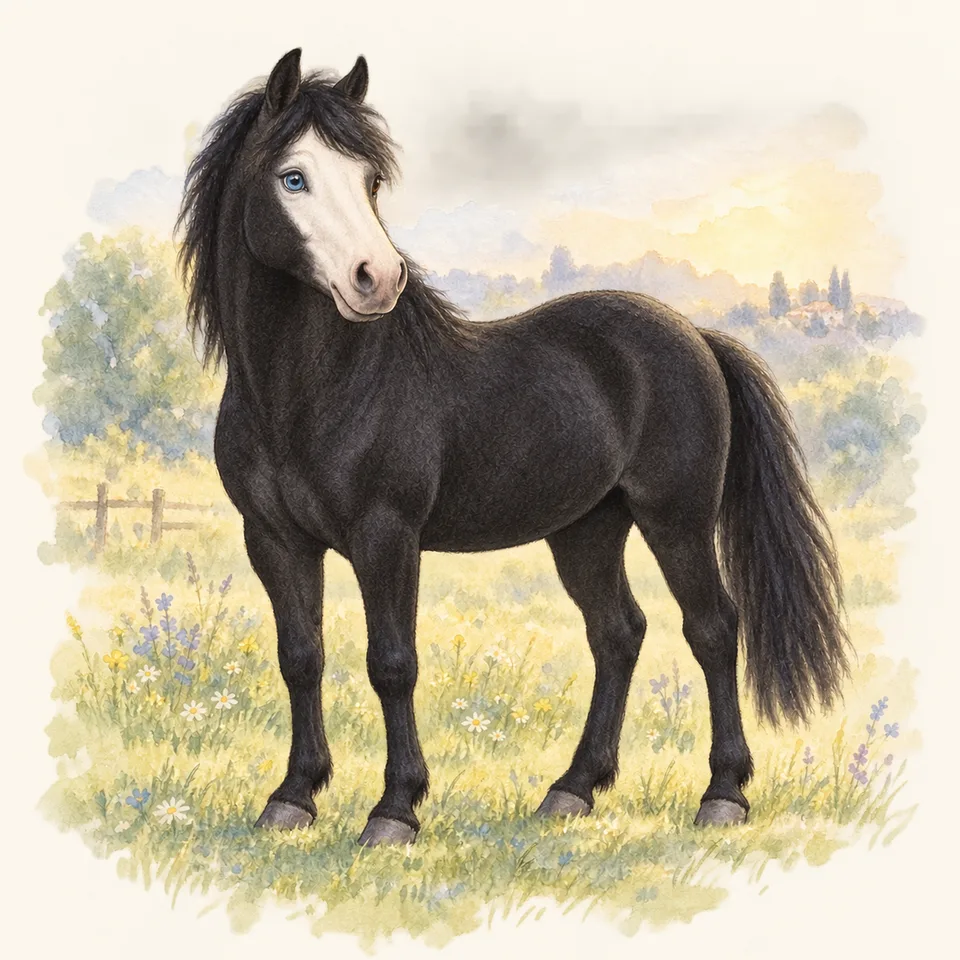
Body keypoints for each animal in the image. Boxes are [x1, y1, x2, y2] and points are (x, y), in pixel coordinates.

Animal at [176, 48, 849, 847]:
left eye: (369, 180)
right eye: (293, 178)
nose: (378, 280)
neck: (308, 393)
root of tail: (695, 337)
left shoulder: (385, 536)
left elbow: (391, 663)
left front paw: (395, 810)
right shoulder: (274, 539)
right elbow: (301, 658)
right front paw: (292, 798)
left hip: (675, 521)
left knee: (712, 629)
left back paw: (722, 794)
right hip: (588, 529)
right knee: (618, 633)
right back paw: (572, 789)